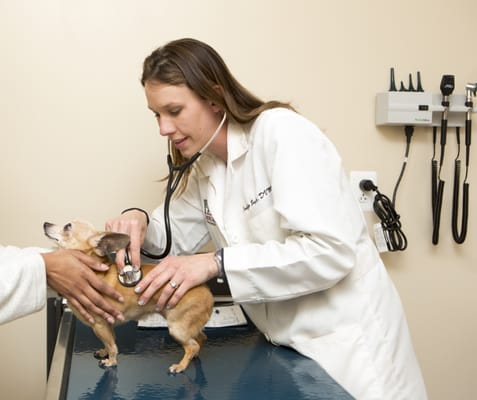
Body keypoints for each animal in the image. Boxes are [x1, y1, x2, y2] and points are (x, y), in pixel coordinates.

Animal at [42, 219, 214, 372]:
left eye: (67, 226)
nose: (45, 223)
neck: (95, 272)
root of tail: (208, 293)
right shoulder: (108, 325)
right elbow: (110, 342)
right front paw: (105, 352)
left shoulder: (100, 325)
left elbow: (112, 346)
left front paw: (111, 361)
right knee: (201, 338)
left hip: (177, 329)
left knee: (192, 346)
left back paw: (181, 366)